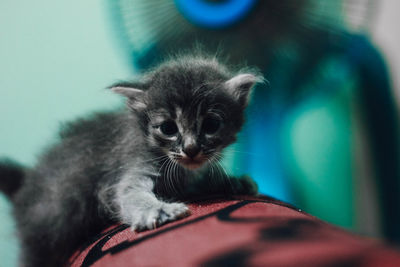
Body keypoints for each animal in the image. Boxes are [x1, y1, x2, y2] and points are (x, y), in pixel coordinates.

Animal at [0, 55, 260, 267]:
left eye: (211, 125)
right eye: (168, 128)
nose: (190, 149)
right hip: (42, 235)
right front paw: (159, 210)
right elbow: (131, 194)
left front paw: (234, 182)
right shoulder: (130, 169)